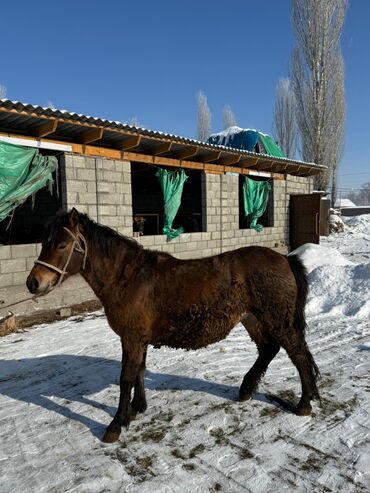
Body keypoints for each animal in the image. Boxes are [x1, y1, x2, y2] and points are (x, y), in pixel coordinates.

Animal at [26, 208, 320, 442]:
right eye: (44, 242)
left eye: (62, 245)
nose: (33, 283)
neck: (128, 278)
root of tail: (285, 259)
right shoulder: (137, 339)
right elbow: (140, 371)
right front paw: (137, 408)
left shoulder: (132, 338)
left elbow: (125, 378)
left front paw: (116, 424)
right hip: (252, 318)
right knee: (268, 350)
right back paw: (247, 390)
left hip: (277, 320)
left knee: (298, 354)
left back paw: (304, 403)